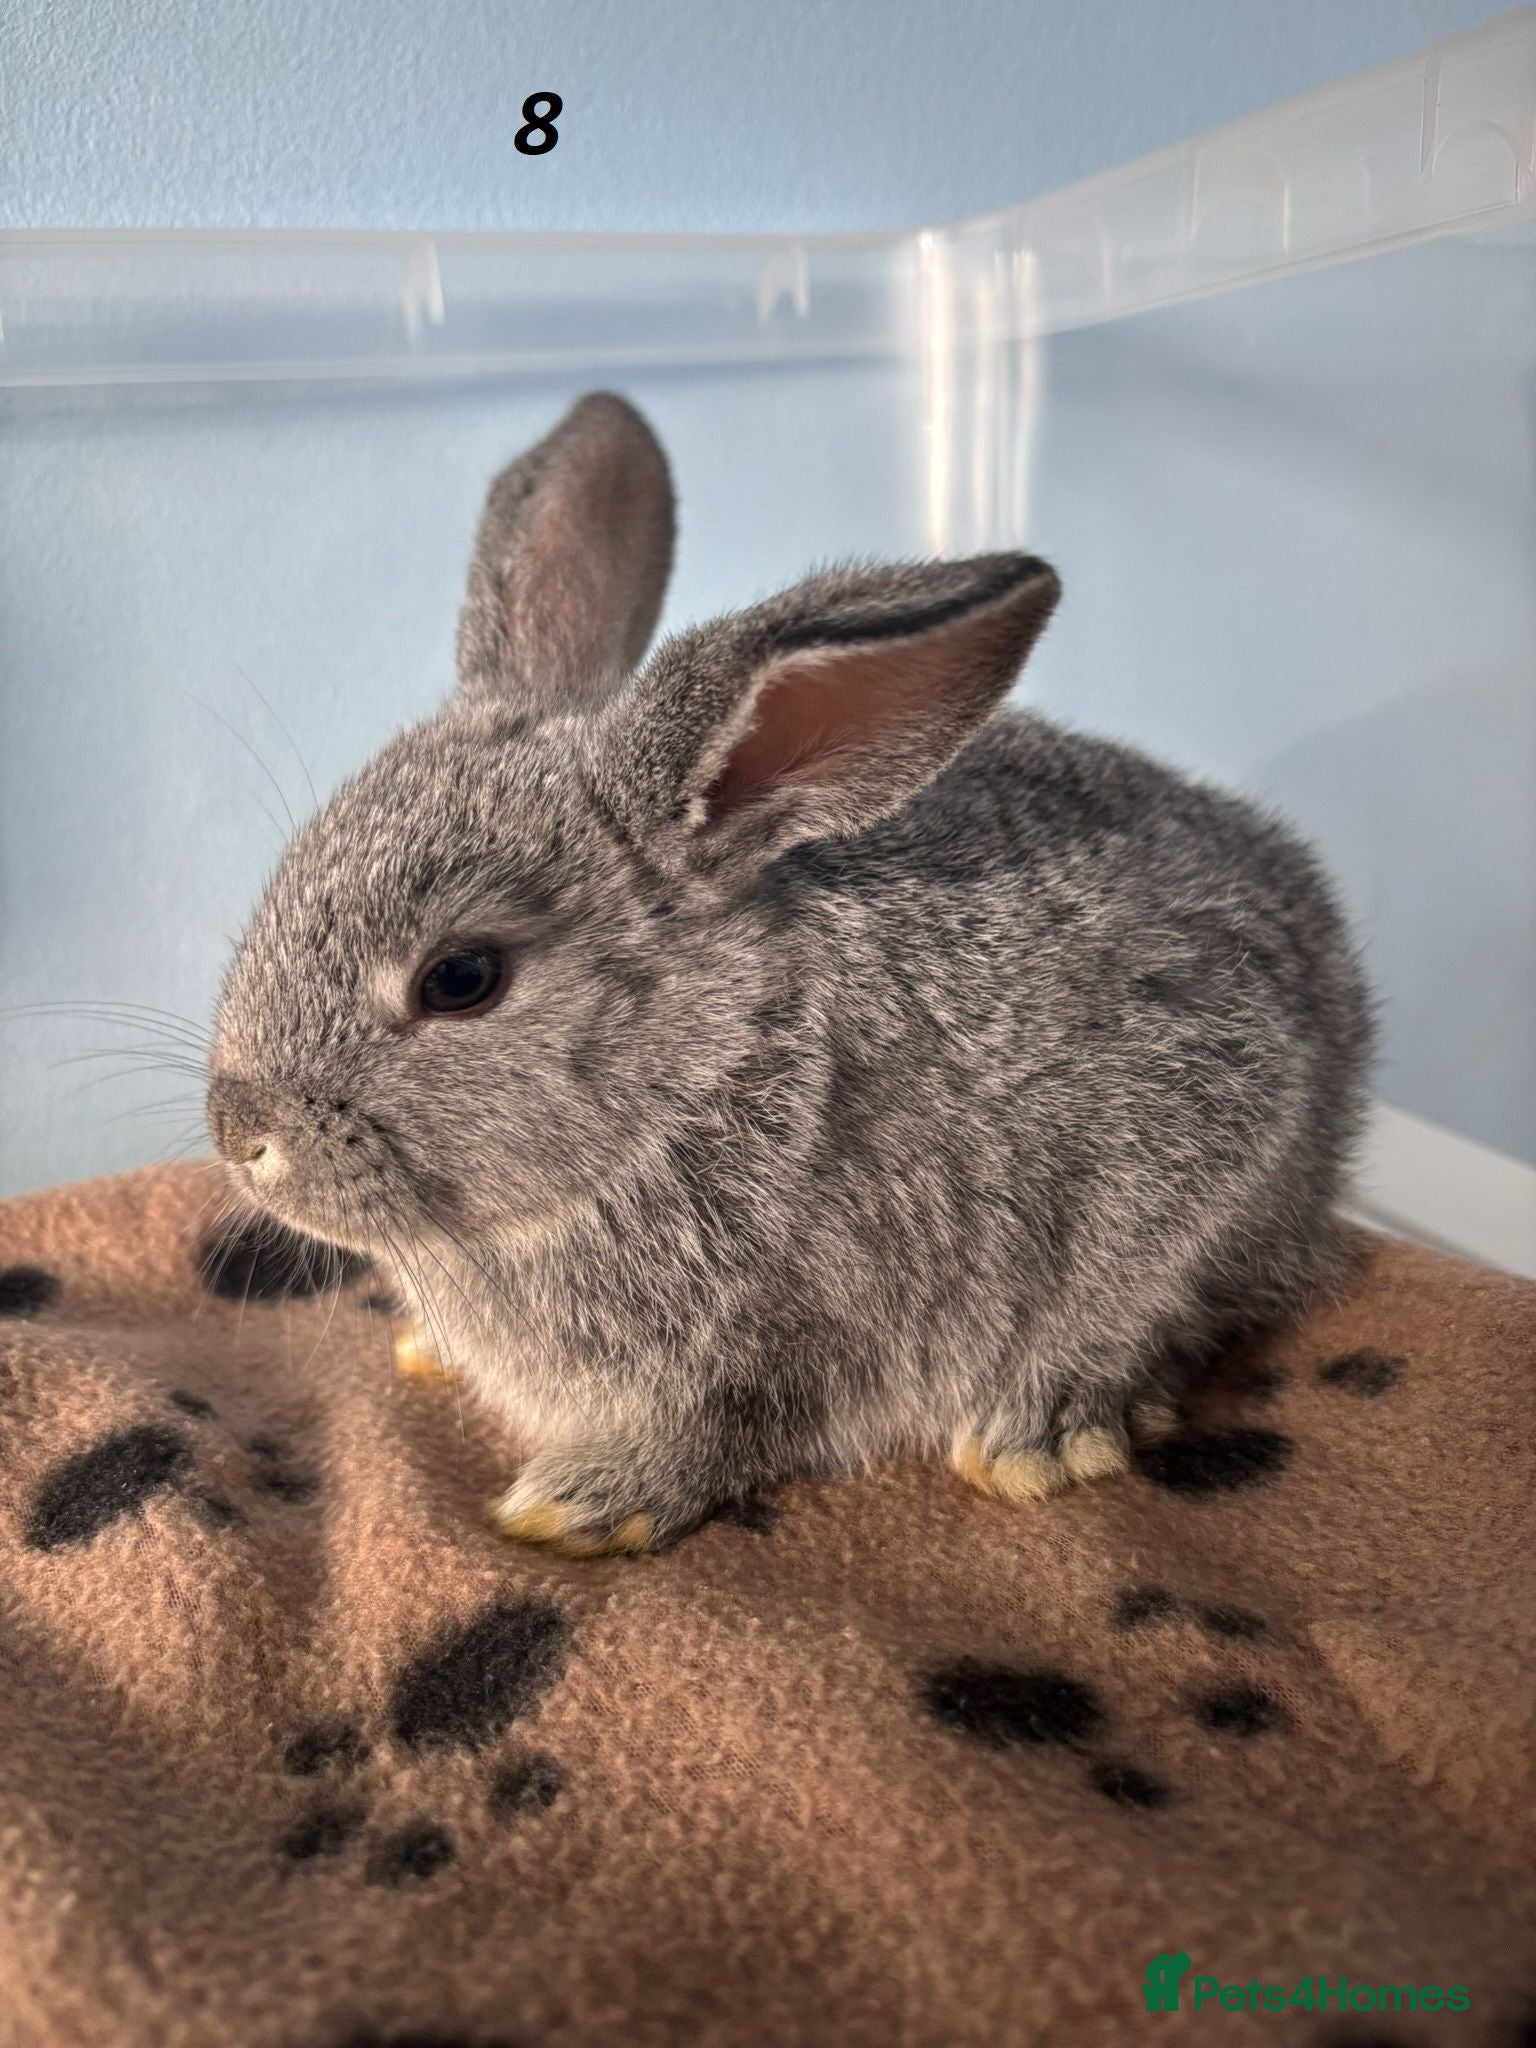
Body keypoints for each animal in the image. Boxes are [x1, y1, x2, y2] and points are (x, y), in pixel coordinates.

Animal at [208, 391, 1374, 1556]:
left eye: (460, 978)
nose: (239, 1133)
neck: (702, 1071)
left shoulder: (789, 1334)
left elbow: (725, 1425)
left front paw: (578, 1502)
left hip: (1201, 1184)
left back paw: (1039, 1437)